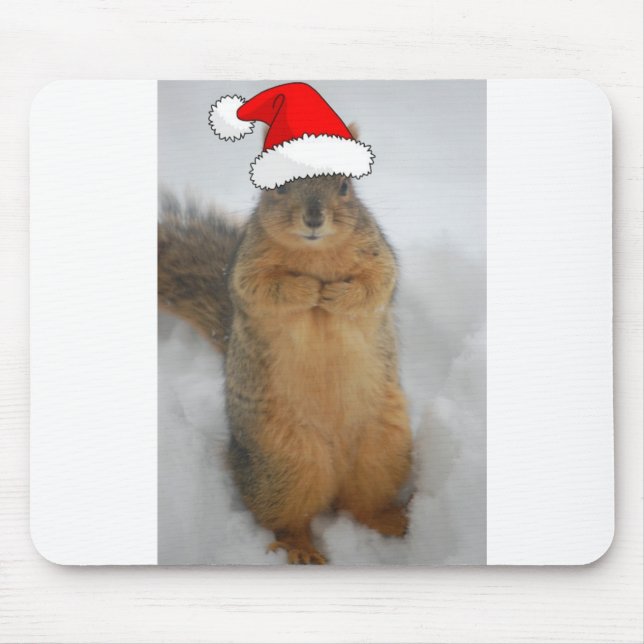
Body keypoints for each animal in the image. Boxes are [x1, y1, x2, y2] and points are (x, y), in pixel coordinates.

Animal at [158, 172, 413, 565]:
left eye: (344, 187)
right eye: (277, 187)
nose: (313, 218)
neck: (315, 253)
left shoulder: (378, 255)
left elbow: (376, 285)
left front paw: (335, 295)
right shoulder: (248, 268)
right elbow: (263, 289)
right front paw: (308, 289)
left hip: (384, 449)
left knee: (362, 503)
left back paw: (391, 521)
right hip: (284, 463)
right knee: (285, 518)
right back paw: (301, 548)